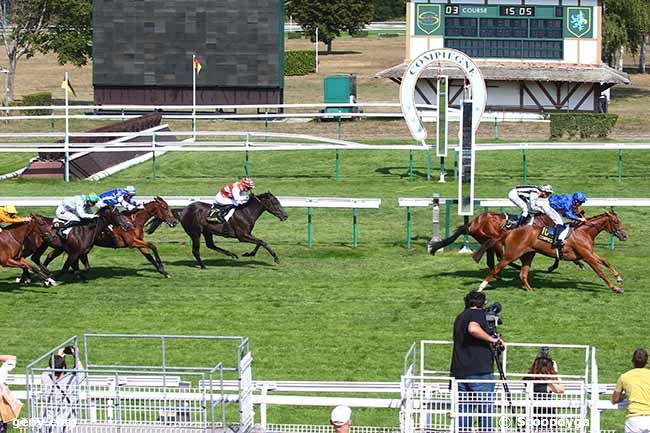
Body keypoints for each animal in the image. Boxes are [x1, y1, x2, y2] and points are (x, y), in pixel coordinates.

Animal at [41, 197, 176, 278]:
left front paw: (163, 272)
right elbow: (153, 246)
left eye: (168, 207)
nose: (174, 222)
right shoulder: (132, 242)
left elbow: (149, 256)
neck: (133, 222)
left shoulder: (139, 242)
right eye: (164, 208)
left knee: (51, 255)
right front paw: (162, 267)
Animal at [149, 192, 286, 266]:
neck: (246, 212)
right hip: (195, 232)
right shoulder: (242, 236)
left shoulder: (247, 234)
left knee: (210, 245)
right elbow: (262, 242)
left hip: (207, 231)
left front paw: (249, 253)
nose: (285, 216)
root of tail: (183, 210)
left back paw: (232, 254)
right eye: (275, 203)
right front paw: (276, 258)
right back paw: (203, 265)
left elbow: (260, 242)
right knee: (196, 250)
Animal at [470, 211, 628, 292]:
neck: (584, 232)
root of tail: (510, 232)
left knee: (522, 274)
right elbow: (600, 272)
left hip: (528, 254)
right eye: (616, 222)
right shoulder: (586, 256)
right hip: (511, 255)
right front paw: (614, 287)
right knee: (496, 267)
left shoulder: (589, 253)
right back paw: (481, 287)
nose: (625, 236)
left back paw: (531, 289)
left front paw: (619, 278)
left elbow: (606, 261)